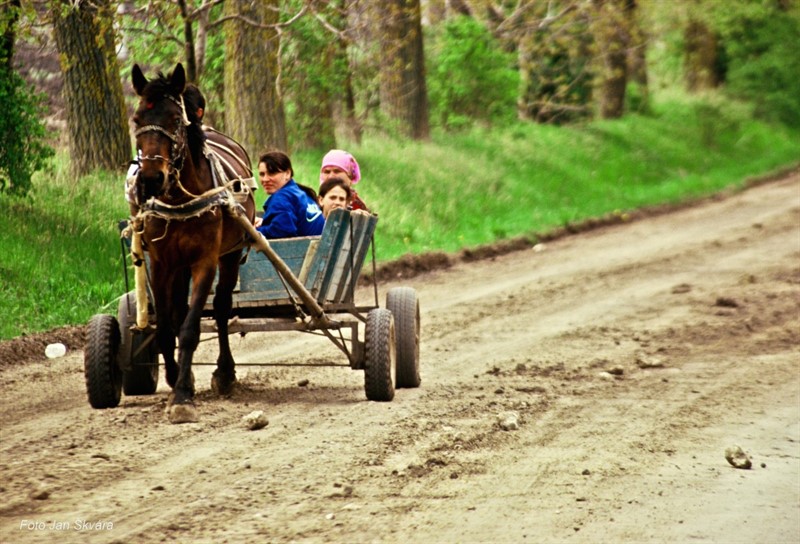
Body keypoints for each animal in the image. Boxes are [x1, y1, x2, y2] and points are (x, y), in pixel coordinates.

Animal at [131, 62, 255, 420]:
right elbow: (166, 327)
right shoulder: (161, 263)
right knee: (178, 311)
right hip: (179, 265)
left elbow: (189, 329)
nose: (150, 179)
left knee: (223, 307)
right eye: (137, 119)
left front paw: (183, 397)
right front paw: (176, 379)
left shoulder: (205, 261)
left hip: (229, 256)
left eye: (175, 119)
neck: (179, 198)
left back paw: (225, 372)